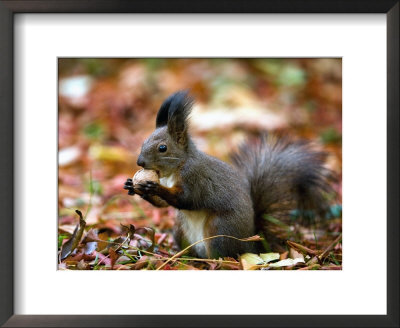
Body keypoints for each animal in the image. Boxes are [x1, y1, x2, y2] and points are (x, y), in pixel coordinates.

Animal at [124, 90, 334, 258]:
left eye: (162, 148)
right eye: (144, 142)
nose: (140, 162)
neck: (176, 168)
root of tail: (251, 244)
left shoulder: (195, 178)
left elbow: (186, 199)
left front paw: (154, 187)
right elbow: (162, 205)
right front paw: (132, 186)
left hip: (219, 229)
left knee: (222, 254)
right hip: (180, 229)